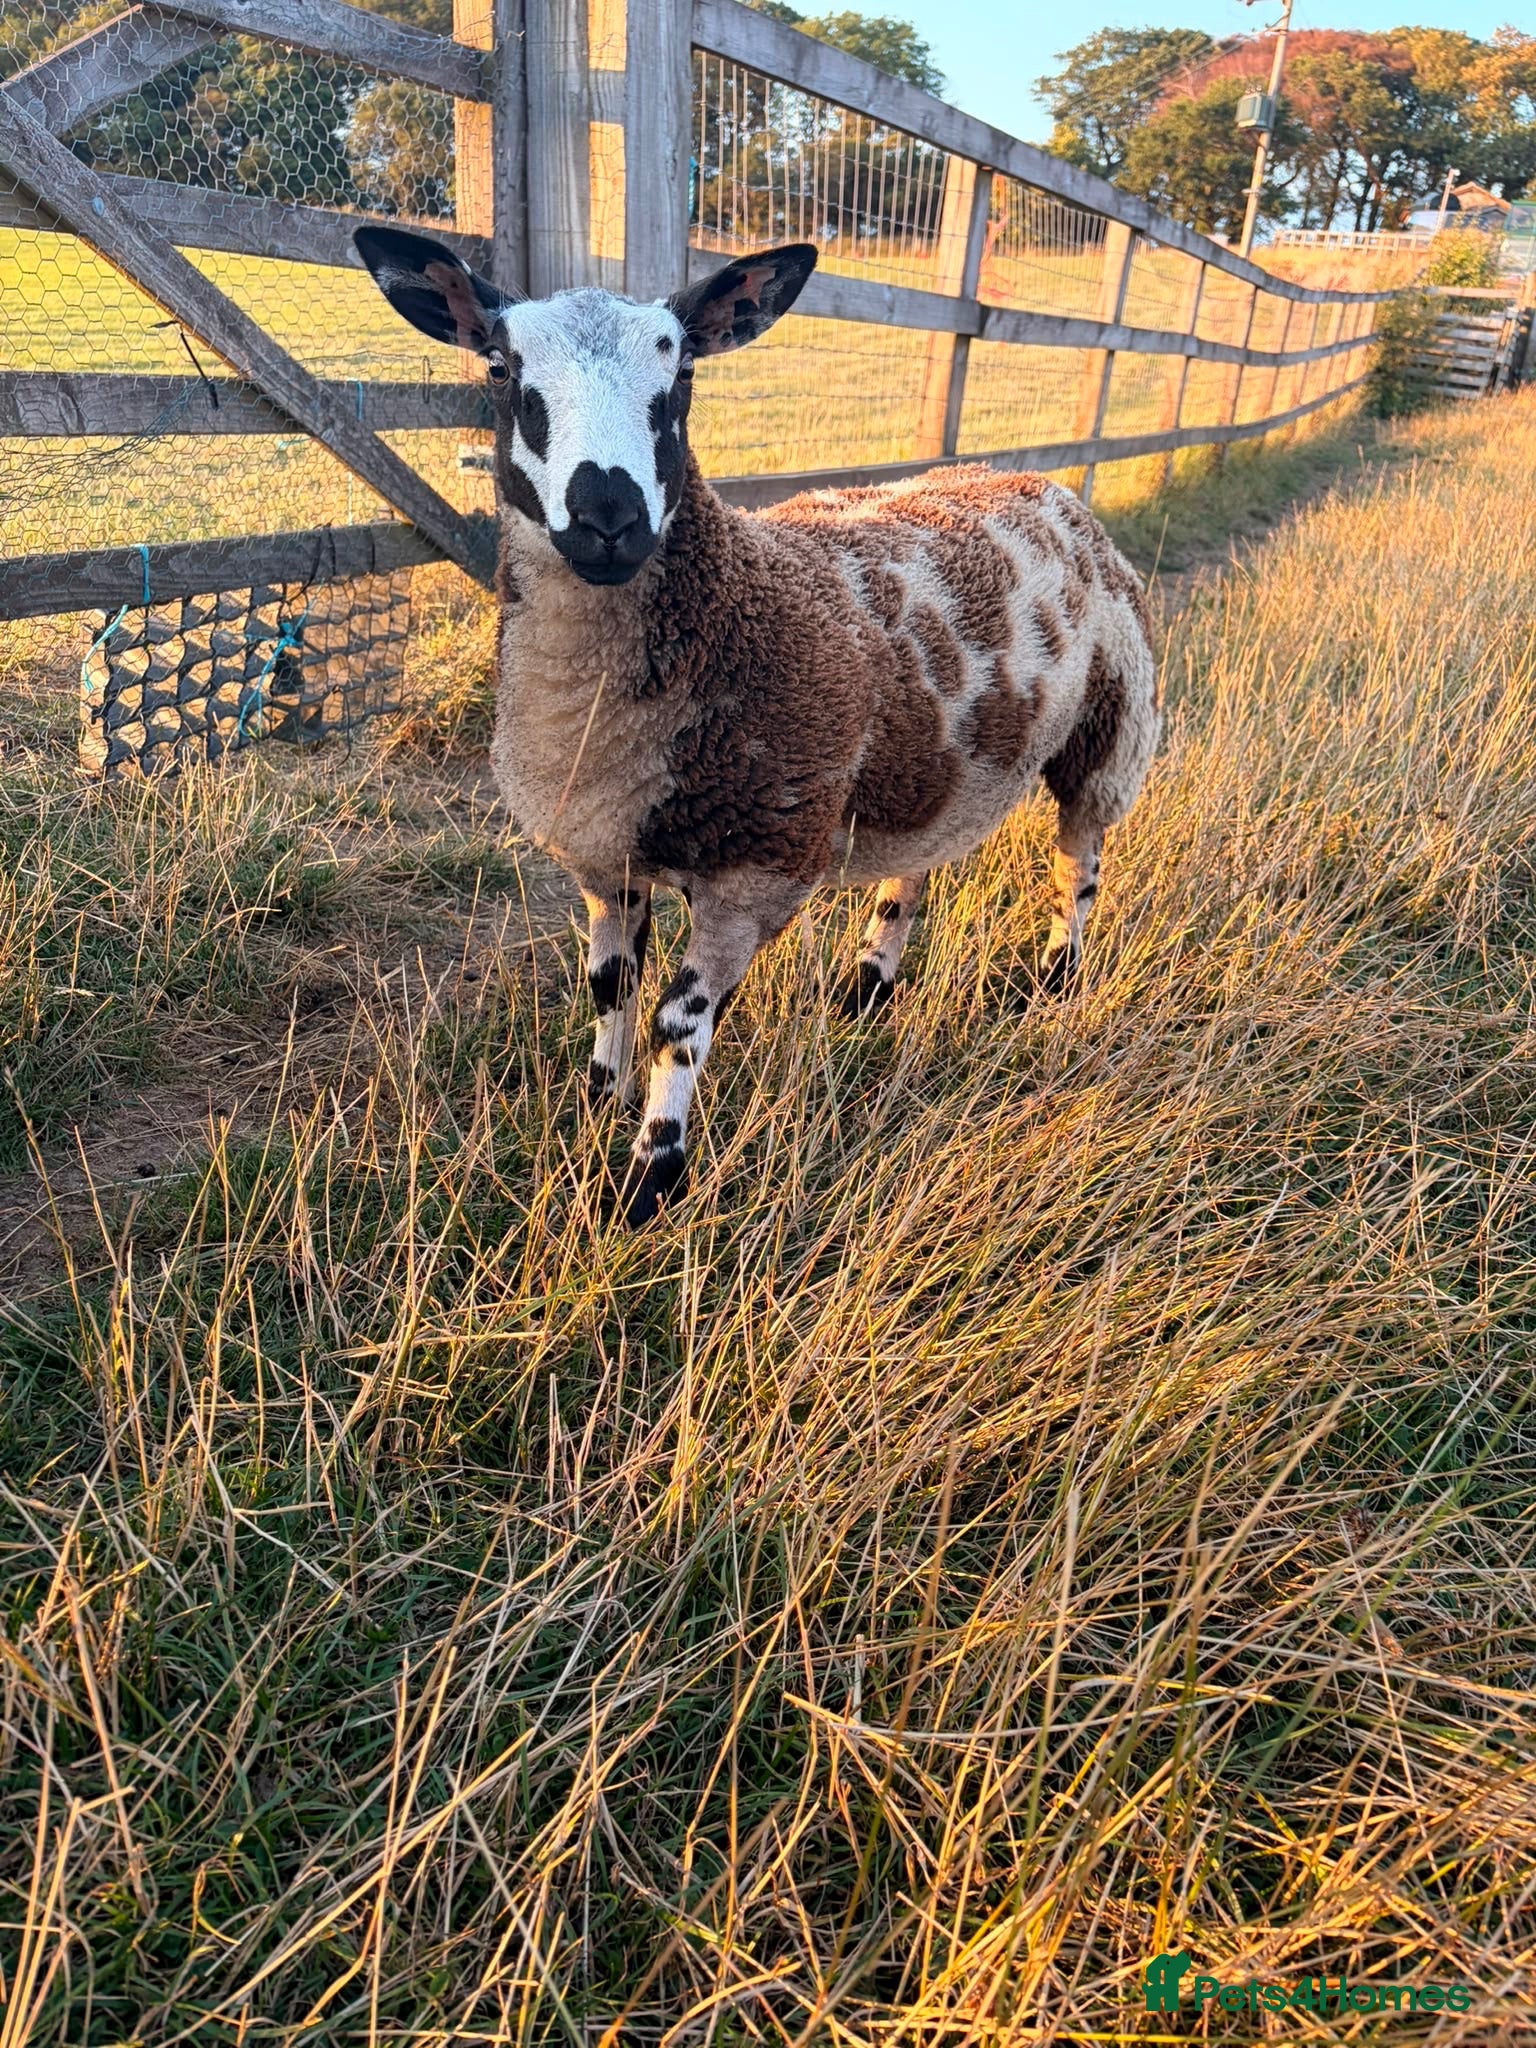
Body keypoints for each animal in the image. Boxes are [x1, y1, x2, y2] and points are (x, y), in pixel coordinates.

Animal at [355, 227, 1159, 1224]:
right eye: (502, 368)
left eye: (684, 373)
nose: (609, 517)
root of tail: (1034, 480)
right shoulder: (603, 855)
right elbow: (610, 989)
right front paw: (597, 1102)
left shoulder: (761, 867)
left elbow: (679, 1019)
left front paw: (649, 1177)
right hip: (943, 760)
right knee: (919, 867)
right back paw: (868, 986)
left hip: (1112, 733)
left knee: (1077, 867)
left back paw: (1055, 979)